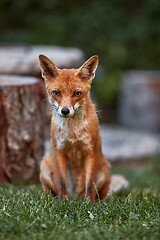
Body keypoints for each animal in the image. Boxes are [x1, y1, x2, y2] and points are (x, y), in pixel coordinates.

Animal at [38, 54, 128, 201]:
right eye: (56, 93)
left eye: (77, 93)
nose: (65, 111)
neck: (72, 132)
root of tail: (75, 195)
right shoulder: (60, 151)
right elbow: (62, 182)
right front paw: (63, 201)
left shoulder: (89, 151)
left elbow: (89, 183)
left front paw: (88, 202)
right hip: (44, 166)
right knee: (53, 191)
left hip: (104, 171)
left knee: (98, 193)